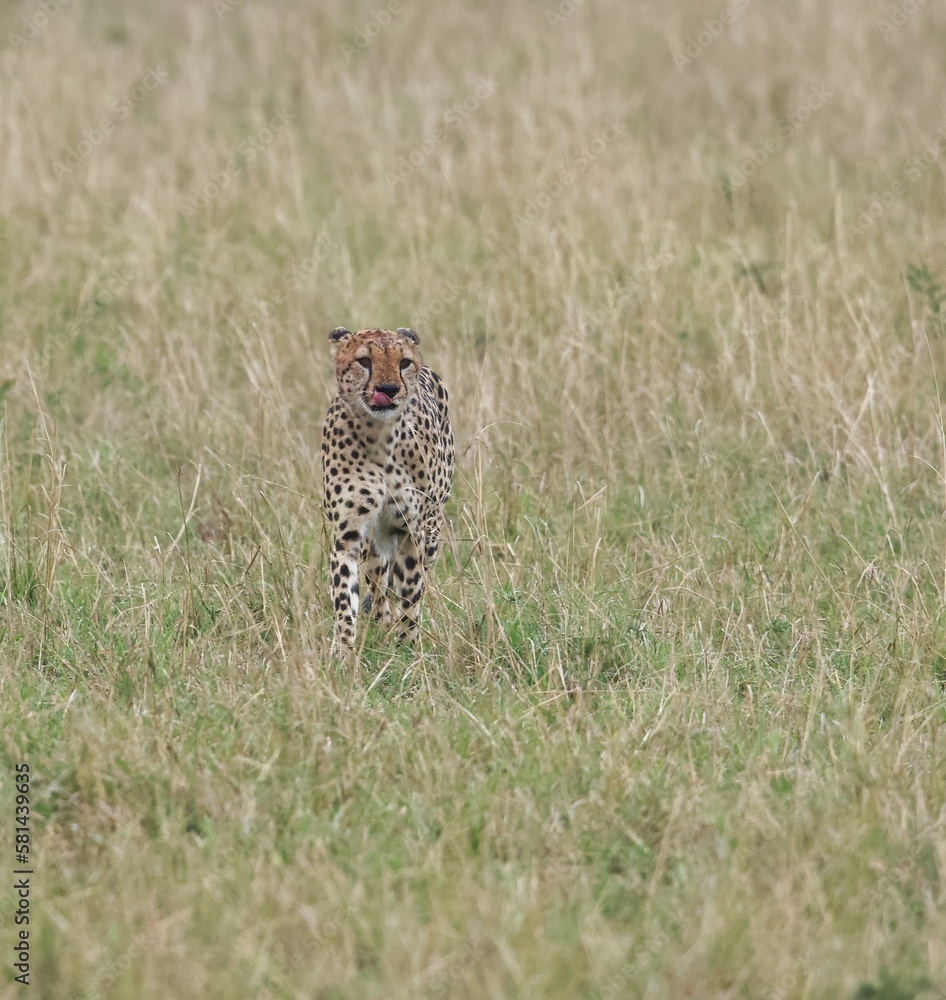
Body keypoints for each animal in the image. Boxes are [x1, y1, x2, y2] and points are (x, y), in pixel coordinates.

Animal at [320, 326, 454, 656]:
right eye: (364, 361)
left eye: (403, 362)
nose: (389, 388)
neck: (378, 434)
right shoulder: (348, 533)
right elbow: (345, 594)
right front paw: (343, 651)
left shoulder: (412, 529)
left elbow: (411, 588)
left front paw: (407, 646)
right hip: (374, 539)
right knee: (378, 582)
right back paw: (382, 622)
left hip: (432, 528)